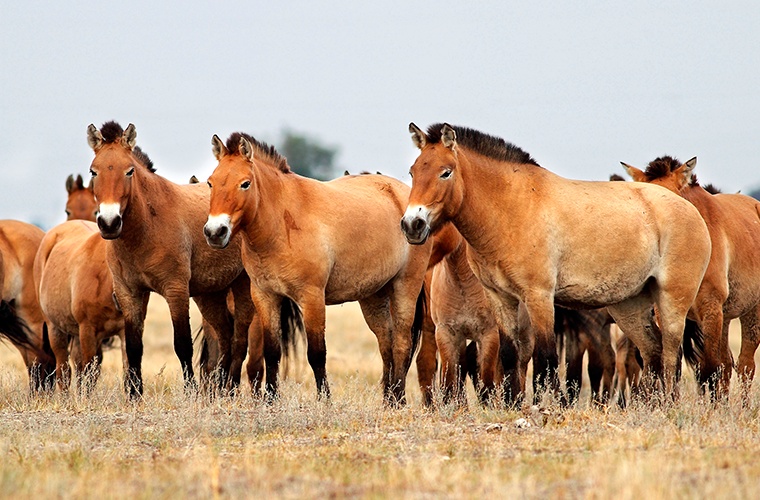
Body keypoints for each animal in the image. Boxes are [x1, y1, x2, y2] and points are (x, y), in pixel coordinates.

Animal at [85, 121, 268, 398]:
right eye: (93, 171)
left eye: (129, 171)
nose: (109, 222)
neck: (147, 227)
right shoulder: (129, 292)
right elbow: (134, 346)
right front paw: (134, 395)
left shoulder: (176, 290)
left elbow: (182, 345)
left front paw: (190, 392)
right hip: (209, 294)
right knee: (224, 337)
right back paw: (219, 388)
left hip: (242, 288)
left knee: (239, 339)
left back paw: (230, 388)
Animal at [205, 133, 430, 406]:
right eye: (211, 183)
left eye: (245, 184)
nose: (215, 232)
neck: (282, 223)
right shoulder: (265, 296)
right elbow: (272, 352)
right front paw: (271, 400)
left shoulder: (311, 297)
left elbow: (316, 354)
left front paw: (325, 401)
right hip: (373, 295)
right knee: (386, 343)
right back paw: (388, 399)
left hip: (405, 286)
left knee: (401, 342)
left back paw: (399, 399)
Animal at [404, 123, 712, 400]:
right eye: (413, 171)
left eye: (445, 172)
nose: (412, 225)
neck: (511, 208)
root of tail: (689, 209)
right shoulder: (500, 298)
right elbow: (510, 356)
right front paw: (512, 406)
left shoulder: (539, 297)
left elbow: (545, 360)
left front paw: (545, 408)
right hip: (629, 305)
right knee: (652, 352)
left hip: (672, 300)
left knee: (671, 355)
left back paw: (669, 406)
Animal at [620, 156, 760, 398]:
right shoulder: (668, 312)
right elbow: (673, 364)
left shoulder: (710, 308)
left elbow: (710, 369)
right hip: (726, 317)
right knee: (728, 364)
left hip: (751, 311)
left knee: (745, 366)